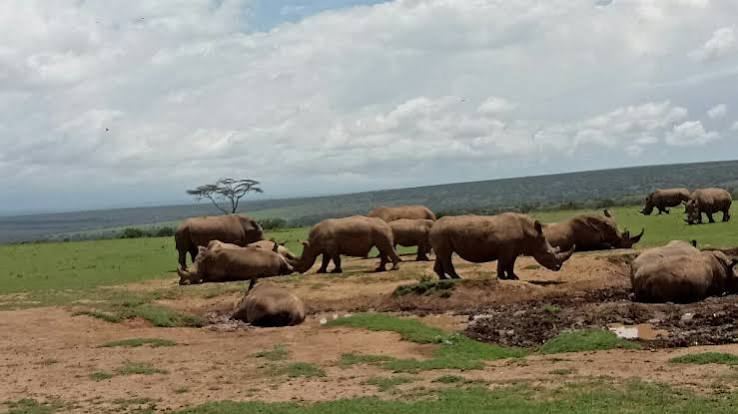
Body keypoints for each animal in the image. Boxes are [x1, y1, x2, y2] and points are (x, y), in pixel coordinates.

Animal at [429, 213, 575, 280]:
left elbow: (510, 264)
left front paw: (514, 277)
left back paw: (443, 279)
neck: (531, 234)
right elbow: (503, 263)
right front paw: (502, 278)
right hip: (441, 232)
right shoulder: (506, 248)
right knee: (446, 255)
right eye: (548, 253)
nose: (558, 267)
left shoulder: (514, 249)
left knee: (441, 254)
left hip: (440, 233)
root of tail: (433, 226)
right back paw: (457, 278)